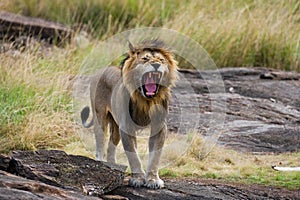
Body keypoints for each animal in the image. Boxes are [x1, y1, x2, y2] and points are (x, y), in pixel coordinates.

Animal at [80, 39, 178, 189]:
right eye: (145, 59)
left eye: (161, 60)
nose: (156, 64)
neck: (146, 101)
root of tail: (102, 69)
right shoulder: (126, 127)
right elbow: (133, 156)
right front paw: (138, 179)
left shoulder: (159, 126)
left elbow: (155, 156)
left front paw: (153, 180)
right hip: (100, 118)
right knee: (100, 142)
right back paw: (101, 163)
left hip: (115, 127)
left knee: (111, 146)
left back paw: (112, 166)